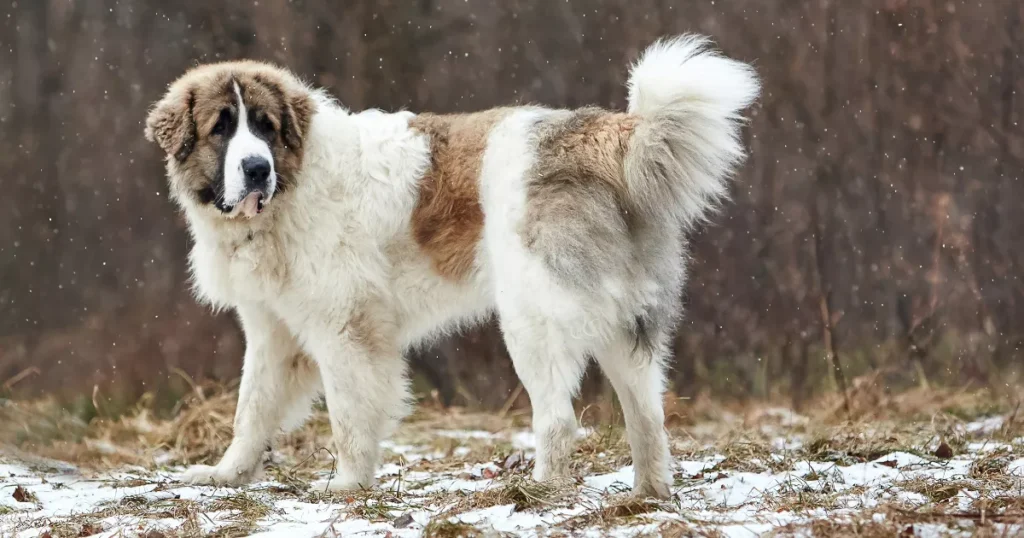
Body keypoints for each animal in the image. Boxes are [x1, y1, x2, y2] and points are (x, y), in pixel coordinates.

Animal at [144, 33, 757, 498]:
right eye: (222, 128)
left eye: (266, 127)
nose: (255, 169)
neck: (291, 189)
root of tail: (598, 132)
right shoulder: (273, 332)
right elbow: (252, 408)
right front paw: (226, 474)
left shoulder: (346, 329)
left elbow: (349, 415)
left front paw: (347, 485)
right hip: (625, 325)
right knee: (648, 416)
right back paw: (648, 495)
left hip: (532, 319)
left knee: (558, 418)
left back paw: (538, 490)